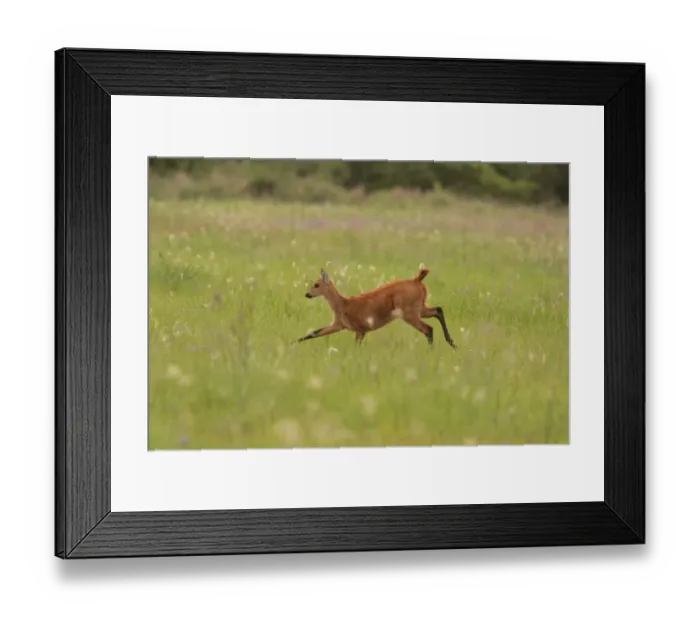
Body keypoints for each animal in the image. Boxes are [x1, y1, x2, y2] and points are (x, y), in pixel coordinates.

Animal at [294, 267, 457, 348]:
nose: (307, 294)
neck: (342, 304)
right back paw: (451, 342)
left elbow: (356, 347)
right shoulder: (338, 325)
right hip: (420, 308)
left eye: (316, 284)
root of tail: (417, 280)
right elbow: (314, 333)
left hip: (409, 313)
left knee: (428, 329)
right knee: (438, 310)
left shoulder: (360, 329)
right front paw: (292, 344)